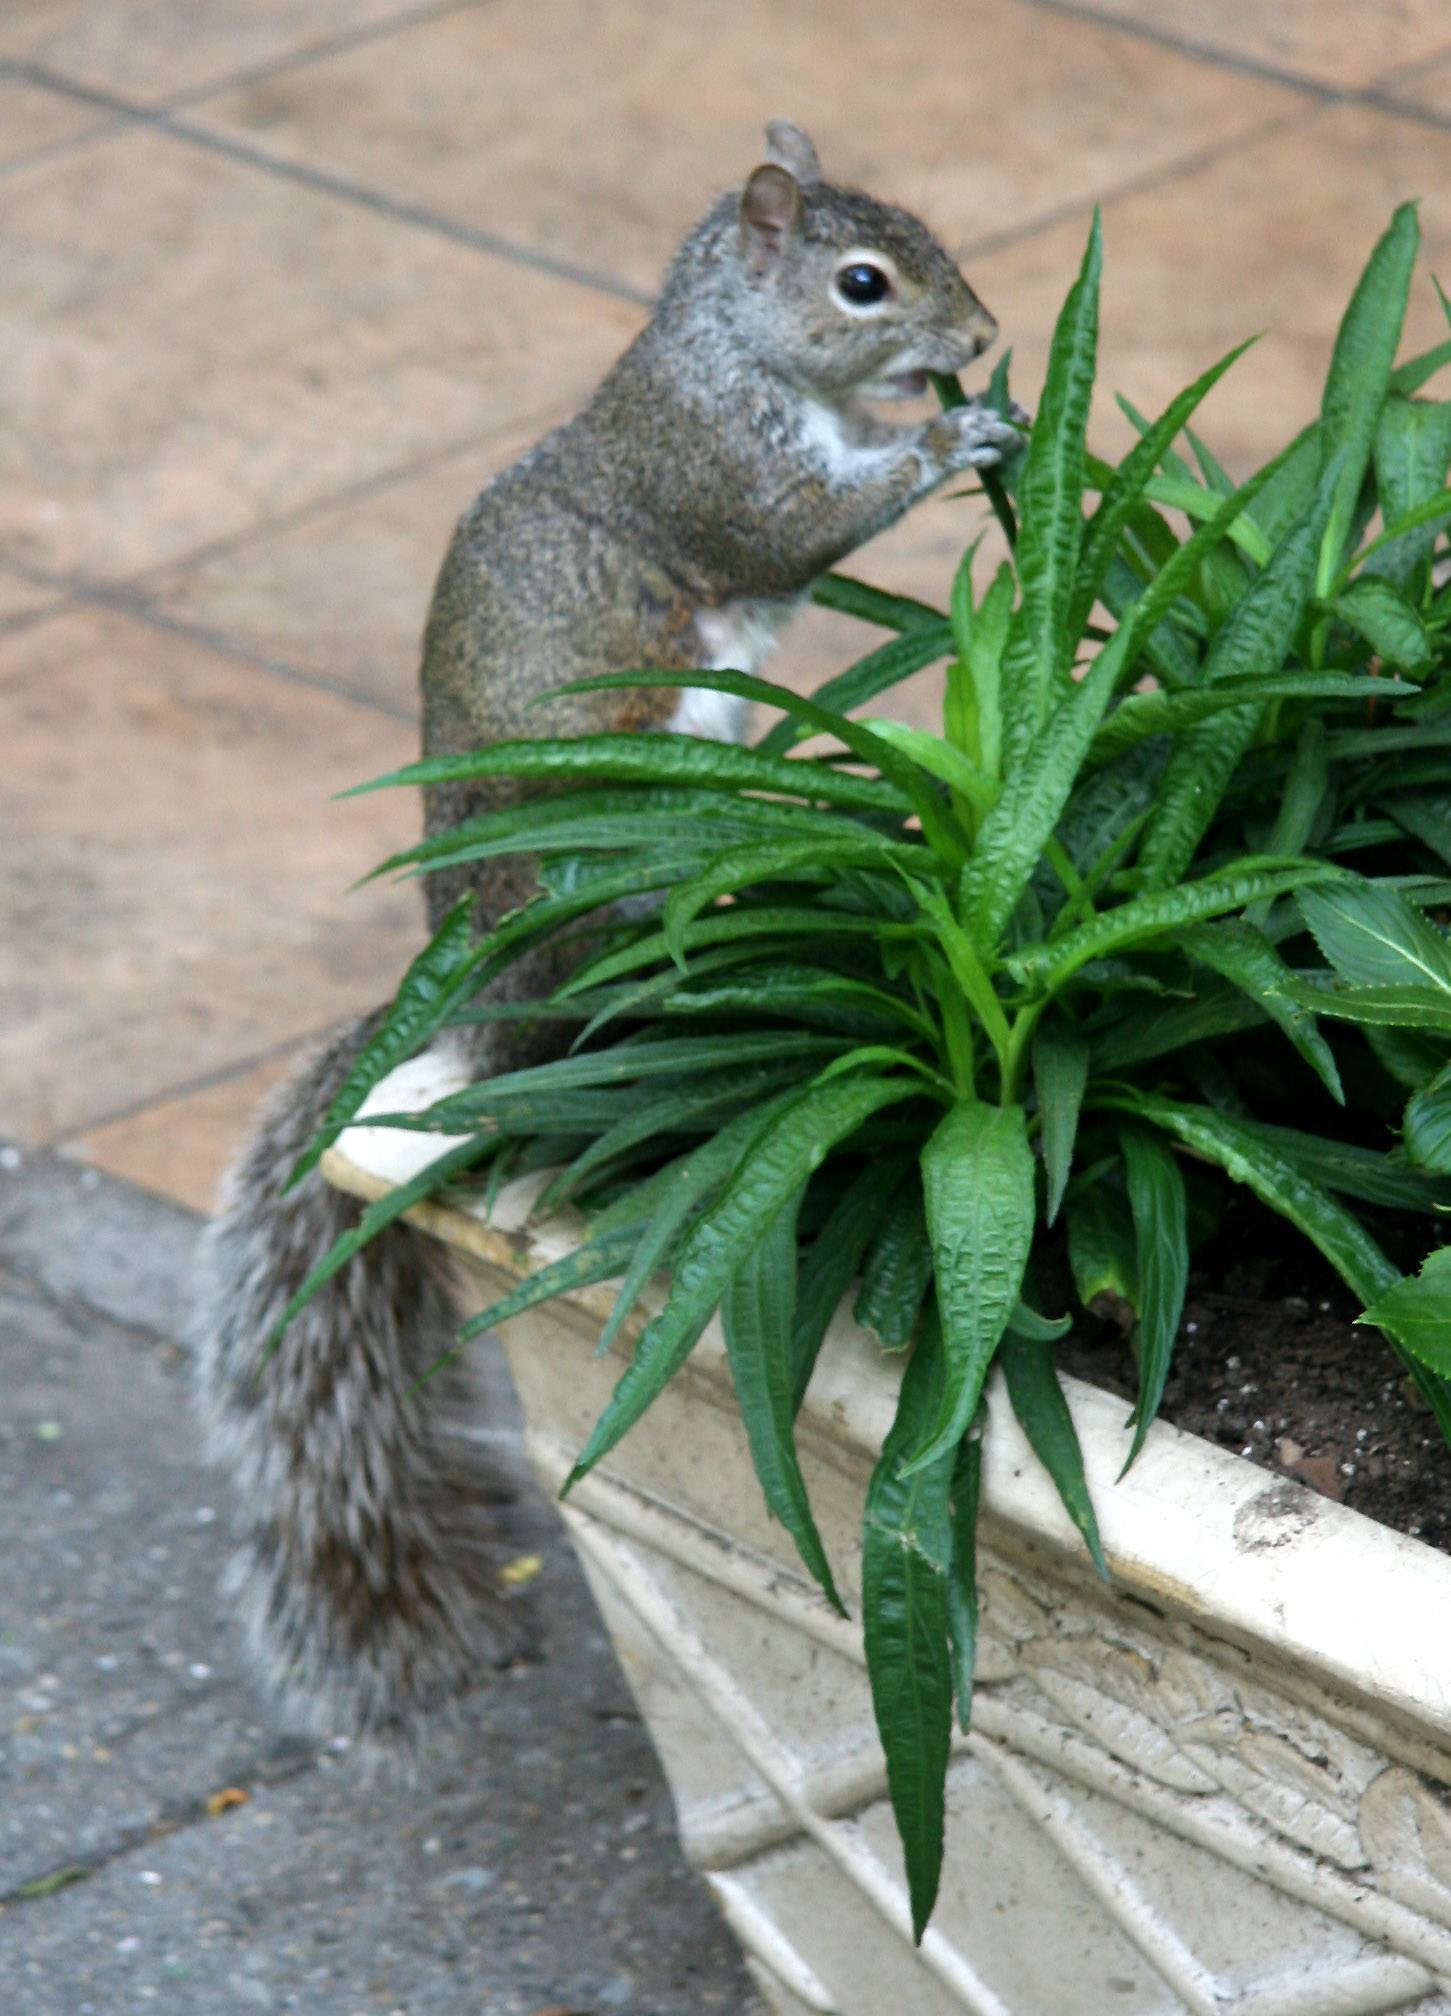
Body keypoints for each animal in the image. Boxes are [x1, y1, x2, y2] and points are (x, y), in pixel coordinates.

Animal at [192, 121, 1015, 1733]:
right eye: (863, 279)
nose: (974, 340)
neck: (722, 344)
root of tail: (475, 1011)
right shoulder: (714, 466)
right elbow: (799, 526)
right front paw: (955, 441)